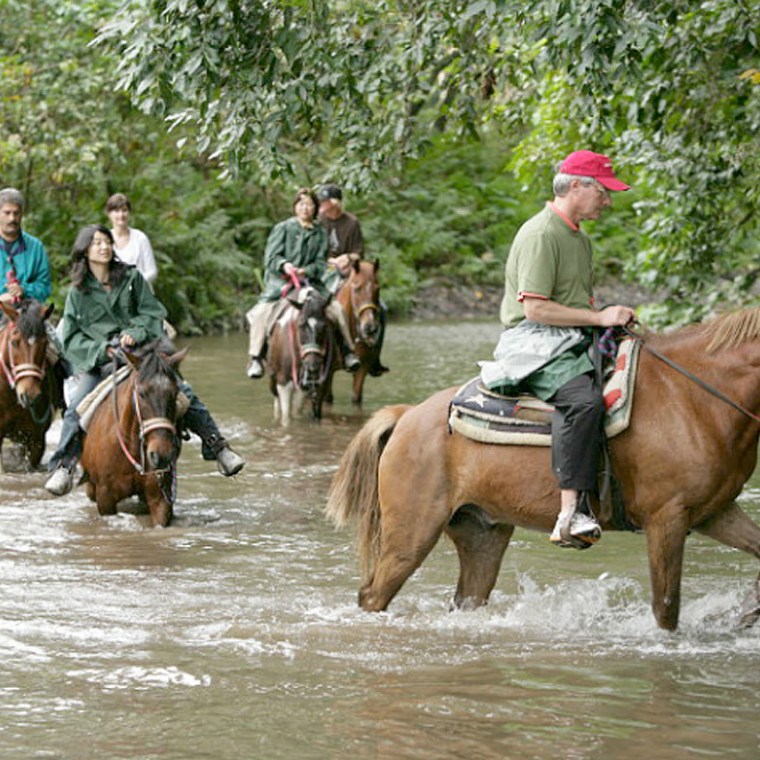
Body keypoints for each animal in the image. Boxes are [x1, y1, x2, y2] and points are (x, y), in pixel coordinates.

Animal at [266, 286, 336, 425]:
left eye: (324, 326)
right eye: (300, 325)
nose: (313, 365)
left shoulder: (312, 385)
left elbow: (298, 413)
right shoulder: (283, 381)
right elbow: (286, 417)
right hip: (273, 379)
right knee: (277, 404)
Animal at [326, 307, 760, 632]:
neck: (694, 397)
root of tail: (407, 415)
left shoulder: (713, 512)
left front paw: (746, 615)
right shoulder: (666, 518)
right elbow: (666, 608)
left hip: (481, 533)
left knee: (466, 598)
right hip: (411, 534)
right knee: (373, 595)